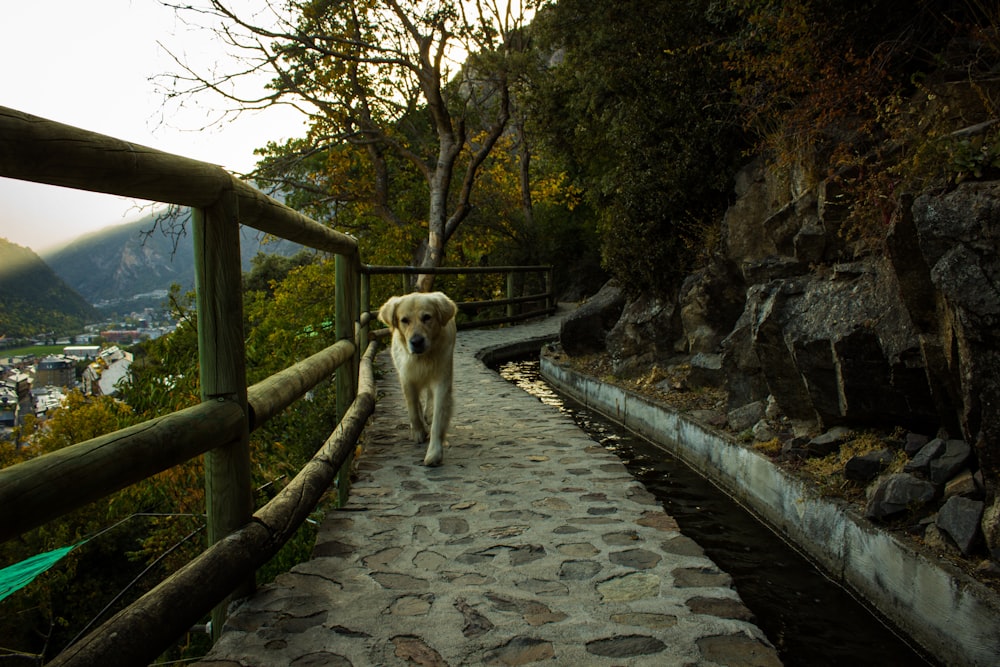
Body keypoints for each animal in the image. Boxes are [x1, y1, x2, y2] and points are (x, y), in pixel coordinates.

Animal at [376, 290, 458, 468]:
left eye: (427, 317)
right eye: (404, 320)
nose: (417, 342)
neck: (423, 359)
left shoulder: (442, 379)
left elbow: (438, 417)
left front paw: (434, 453)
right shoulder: (406, 377)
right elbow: (412, 406)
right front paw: (418, 431)